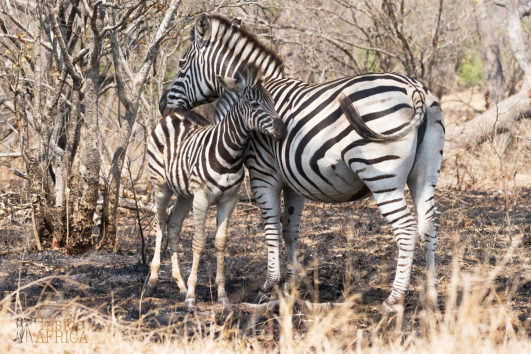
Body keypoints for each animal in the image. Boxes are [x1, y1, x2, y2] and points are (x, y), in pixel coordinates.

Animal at [145, 65, 286, 308]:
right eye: (254, 104)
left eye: (272, 102)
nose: (282, 130)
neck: (229, 153)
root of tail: (175, 114)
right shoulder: (202, 197)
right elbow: (199, 241)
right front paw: (192, 296)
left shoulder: (229, 199)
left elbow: (220, 242)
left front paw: (221, 296)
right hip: (161, 185)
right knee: (160, 224)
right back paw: (154, 281)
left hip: (184, 194)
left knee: (173, 226)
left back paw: (180, 285)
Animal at [161, 15, 444, 312]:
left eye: (181, 63)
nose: (162, 106)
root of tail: (416, 89)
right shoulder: (293, 181)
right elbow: (290, 230)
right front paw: (290, 285)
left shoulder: (263, 174)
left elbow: (271, 227)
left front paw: (269, 286)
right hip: (425, 174)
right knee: (428, 226)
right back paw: (431, 297)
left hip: (382, 174)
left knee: (407, 229)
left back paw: (394, 299)